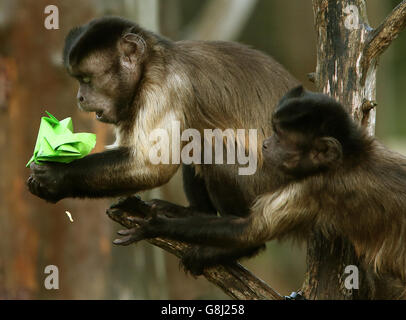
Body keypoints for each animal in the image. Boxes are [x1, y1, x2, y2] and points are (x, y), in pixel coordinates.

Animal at [26, 16, 298, 272]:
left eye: (87, 80)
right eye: (79, 81)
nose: (80, 97)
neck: (153, 62)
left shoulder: (164, 88)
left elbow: (153, 166)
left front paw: (56, 176)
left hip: (266, 187)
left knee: (207, 142)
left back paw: (240, 242)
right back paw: (196, 214)